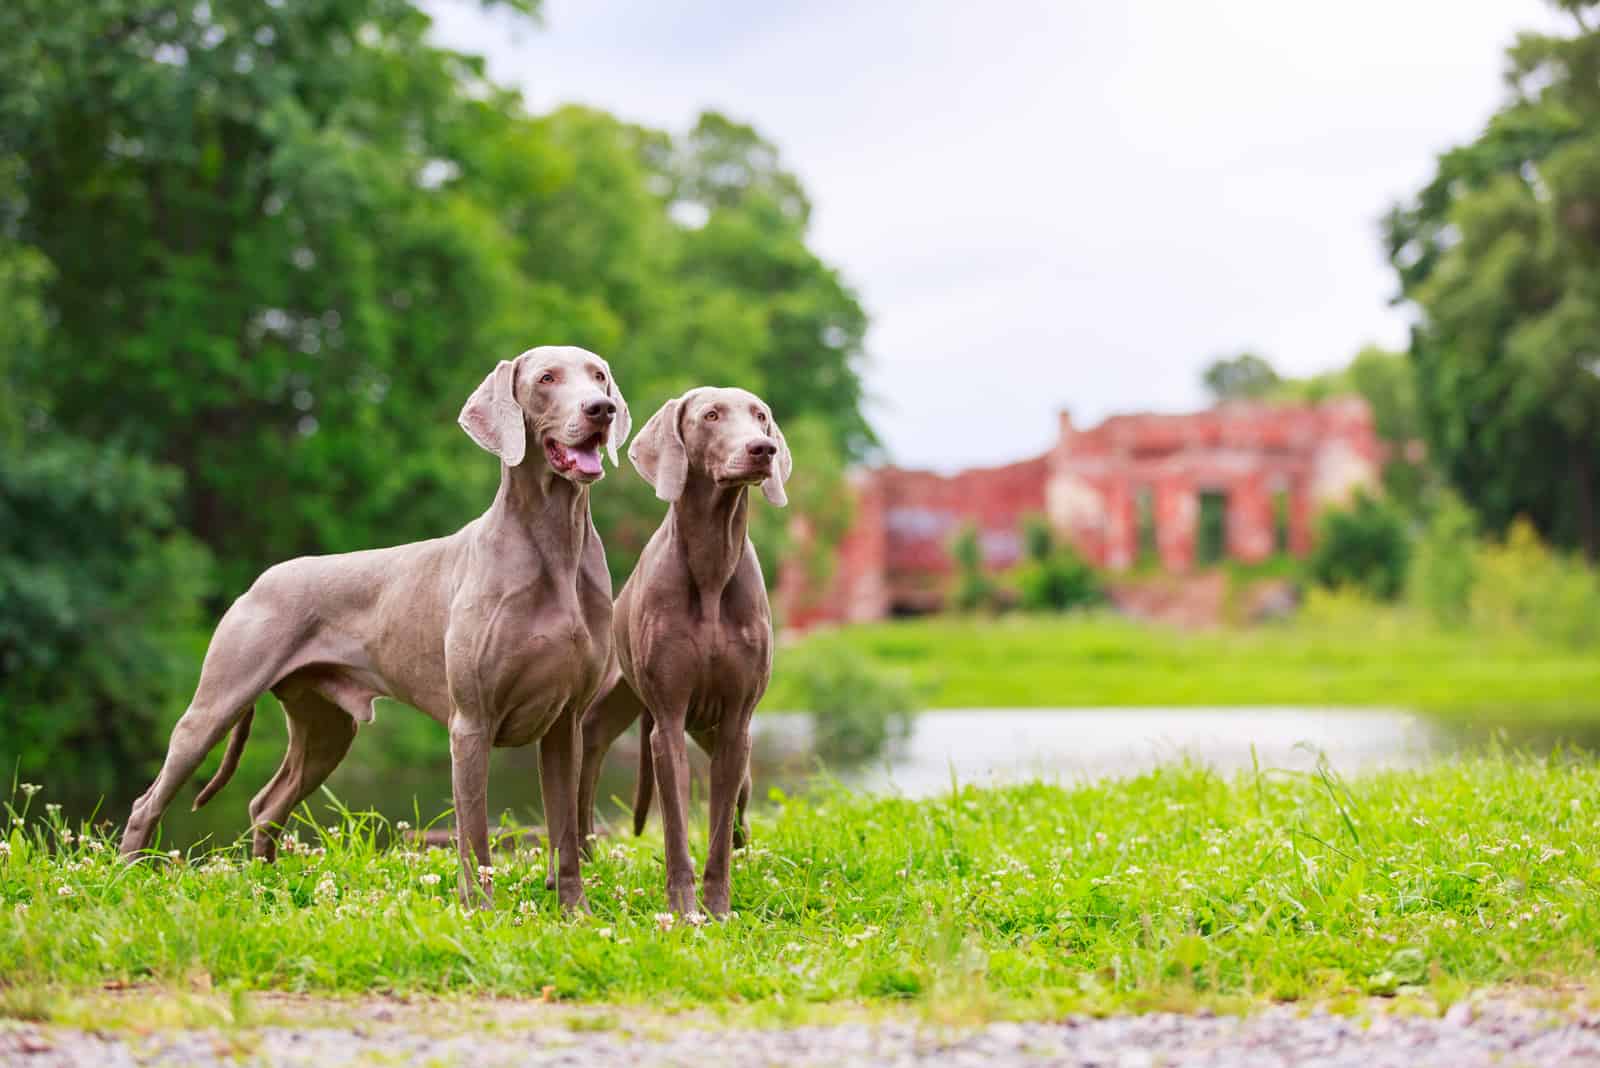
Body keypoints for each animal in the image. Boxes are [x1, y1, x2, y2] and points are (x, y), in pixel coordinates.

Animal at [572, 388, 790, 914]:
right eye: (711, 415)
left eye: (761, 417)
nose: (763, 449)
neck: (713, 563)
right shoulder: (668, 721)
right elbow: (674, 826)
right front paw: (685, 908)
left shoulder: (735, 722)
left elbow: (717, 828)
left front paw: (719, 908)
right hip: (606, 707)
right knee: (588, 764)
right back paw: (586, 854)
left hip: (713, 733)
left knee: (740, 803)